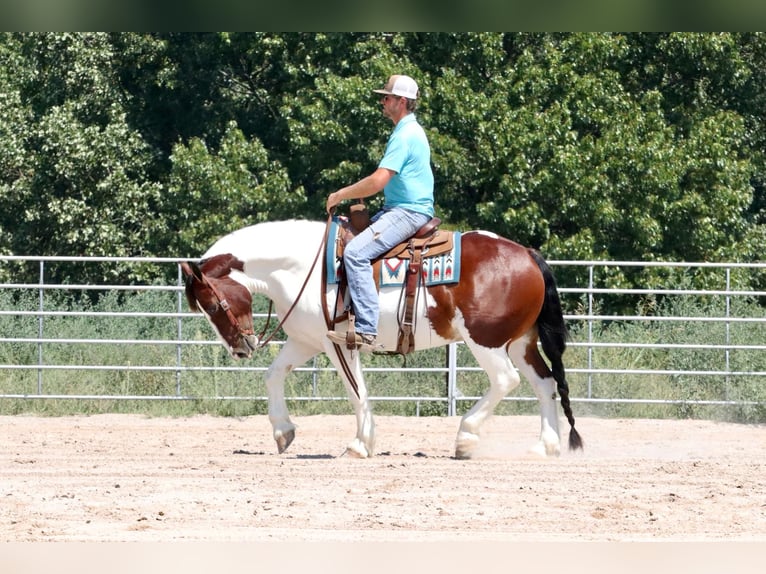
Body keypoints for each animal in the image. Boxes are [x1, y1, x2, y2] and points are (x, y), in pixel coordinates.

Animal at [182, 218, 584, 462]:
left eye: (213, 304)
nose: (240, 348)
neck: (301, 267)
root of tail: (528, 255)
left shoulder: (339, 343)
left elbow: (356, 392)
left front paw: (360, 445)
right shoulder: (307, 341)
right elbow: (274, 375)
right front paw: (283, 432)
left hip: (485, 341)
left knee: (505, 380)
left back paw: (465, 438)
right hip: (520, 342)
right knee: (545, 383)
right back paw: (545, 446)